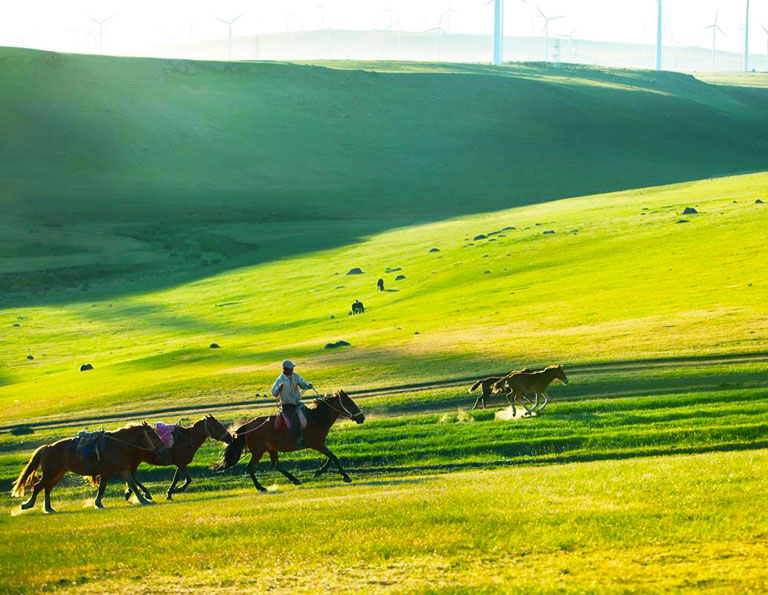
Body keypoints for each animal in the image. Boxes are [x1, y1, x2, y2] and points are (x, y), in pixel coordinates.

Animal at [10, 422, 167, 516]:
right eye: (153, 435)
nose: (163, 450)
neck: (118, 444)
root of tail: (47, 448)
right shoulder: (112, 471)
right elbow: (123, 485)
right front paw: (143, 499)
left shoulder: (119, 470)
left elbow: (127, 484)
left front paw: (142, 499)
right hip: (50, 472)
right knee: (38, 486)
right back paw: (27, 504)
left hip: (59, 473)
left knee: (48, 488)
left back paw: (48, 508)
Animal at [219, 388, 366, 492]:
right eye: (350, 403)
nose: (362, 418)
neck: (317, 418)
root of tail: (249, 424)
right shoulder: (317, 444)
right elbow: (333, 457)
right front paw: (345, 476)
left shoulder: (320, 444)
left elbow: (330, 458)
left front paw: (319, 471)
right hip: (258, 452)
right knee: (250, 467)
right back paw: (261, 487)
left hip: (272, 449)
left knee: (276, 465)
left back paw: (295, 480)